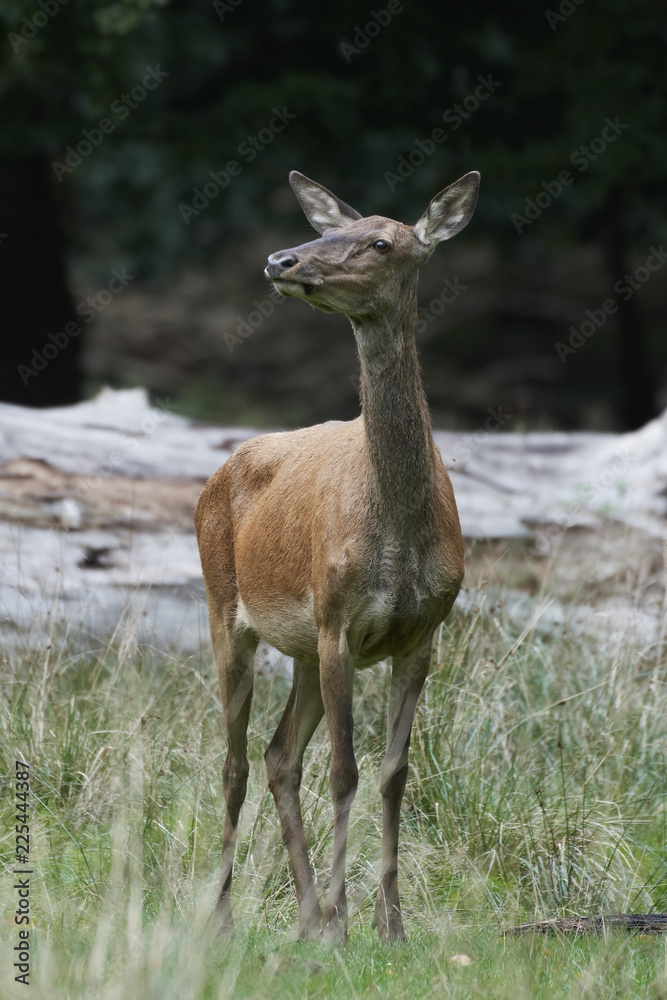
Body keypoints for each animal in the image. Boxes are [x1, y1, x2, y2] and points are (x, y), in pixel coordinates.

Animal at [195, 168, 480, 944]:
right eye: (330, 228)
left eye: (380, 241)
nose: (281, 259)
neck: (400, 530)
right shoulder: (338, 622)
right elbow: (345, 773)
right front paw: (346, 920)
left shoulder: (423, 633)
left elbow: (392, 774)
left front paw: (388, 923)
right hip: (226, 607)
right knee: (234, 762)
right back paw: (225, 919)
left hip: (297, 646)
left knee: (277, 755)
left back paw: (302, 919)